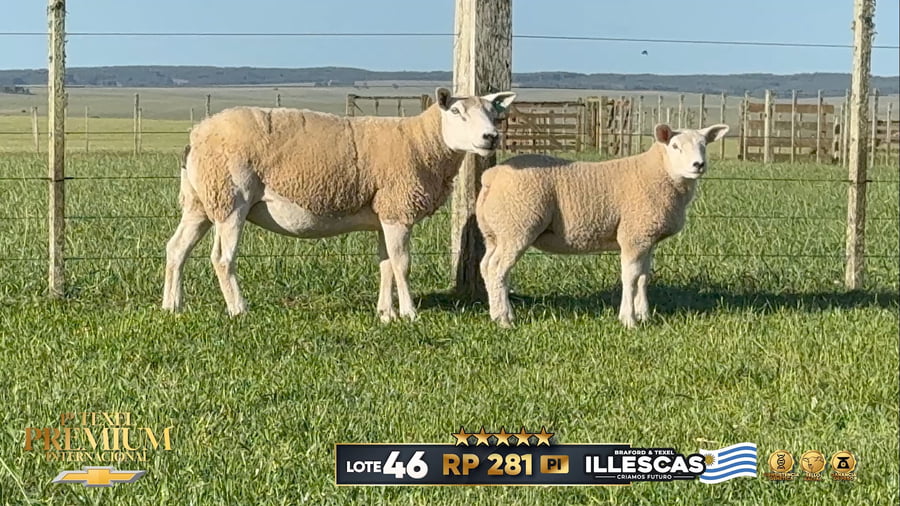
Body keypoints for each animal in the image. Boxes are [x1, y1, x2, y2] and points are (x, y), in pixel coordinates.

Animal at [162, 87, 517, 320]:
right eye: (457, 113)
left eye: (493, 113)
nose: (490, 137)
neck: (421, 143)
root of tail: (195, 136)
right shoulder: (397, 209)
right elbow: (402, 264)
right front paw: (409, 313)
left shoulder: (383, 213)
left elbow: (385, 264)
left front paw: (385, 313)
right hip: (231, 198)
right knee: (222, 258)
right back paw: (238, 309)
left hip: (200, 201)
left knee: (176, 248)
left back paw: (172, 305)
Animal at [476, 123, 730, 328]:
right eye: (675, 146)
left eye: (704, 145)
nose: (698, 164)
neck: (659, 172)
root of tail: (491, 176)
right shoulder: (633, 235)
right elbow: (630, 277)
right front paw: (629, 320)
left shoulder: (647, 238)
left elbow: (644, 277)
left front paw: (645, 315)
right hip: (517, 226)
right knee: (498, 269)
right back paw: (504, 320)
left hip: (495, 233)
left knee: (486, 266)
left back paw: (498, 313)